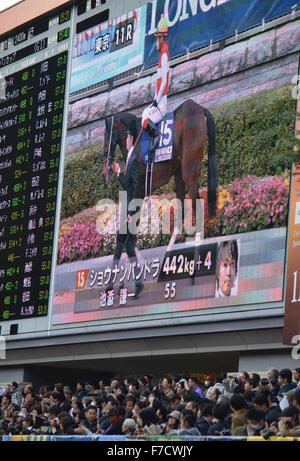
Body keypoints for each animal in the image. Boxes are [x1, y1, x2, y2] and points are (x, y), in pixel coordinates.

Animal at [102, 97, 216, 239]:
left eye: (106, 140)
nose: (105, 170)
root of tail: (199, 107)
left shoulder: (139, 188)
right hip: (180, 170)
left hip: (189, 164)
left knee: (193, 192)